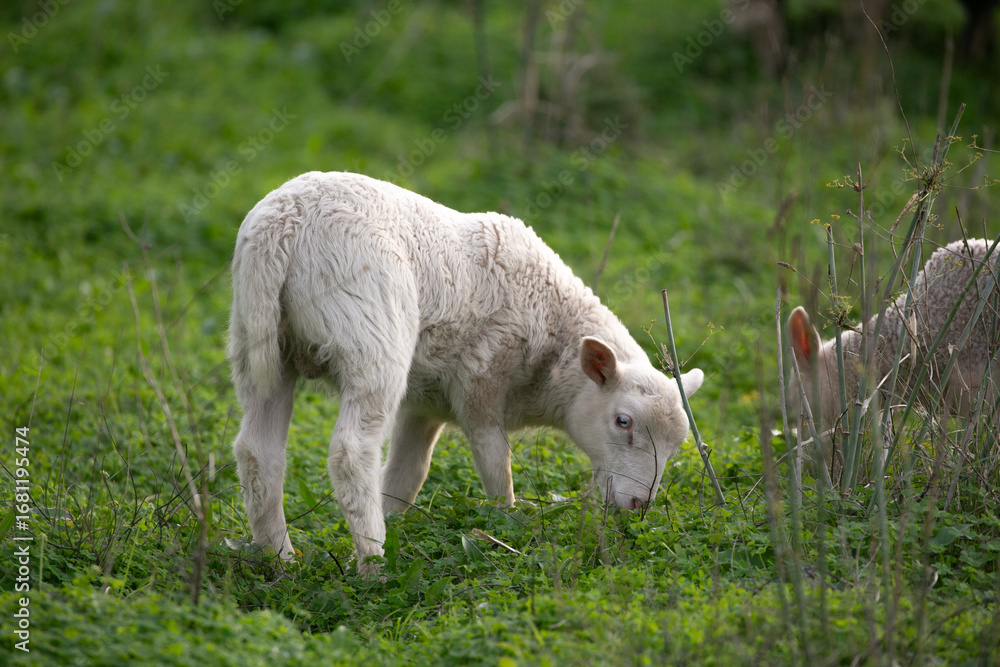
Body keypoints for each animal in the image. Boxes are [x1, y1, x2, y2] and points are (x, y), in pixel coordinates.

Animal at [228, 171, 704, 575]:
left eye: (678, 444)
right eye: (622, 421)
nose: (639, 505)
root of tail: (282, 226)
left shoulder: (425, 405)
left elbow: (406, 476)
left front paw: (395, 522)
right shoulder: (481, 379)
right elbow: (495, 463)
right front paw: (506, 528)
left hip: (258, 345)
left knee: (257, 452)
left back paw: (280, 559)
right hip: (372, 336)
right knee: (350, 453)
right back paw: (373, 566)